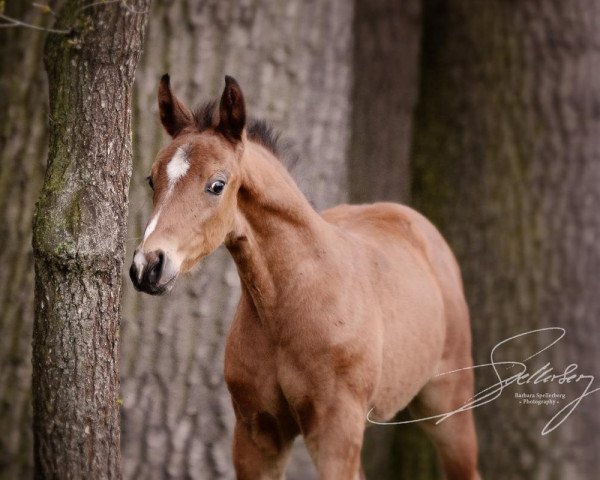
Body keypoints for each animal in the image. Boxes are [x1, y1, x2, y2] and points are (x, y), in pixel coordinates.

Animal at [131, 76, 482, 480]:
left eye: (217, 185)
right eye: (151, 179)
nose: (148, 266)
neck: (287, 304)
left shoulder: (334, 431)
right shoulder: (257, 433)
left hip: (449, 405)